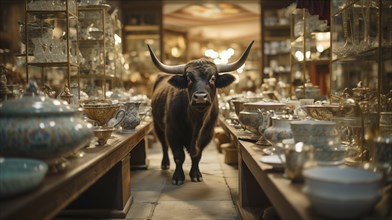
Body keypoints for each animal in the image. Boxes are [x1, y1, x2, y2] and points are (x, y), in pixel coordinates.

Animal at [148, 40, 254, 184]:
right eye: (188, 78)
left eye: (213, 78)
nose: (200, 97)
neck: (195, 121)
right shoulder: (172, 132)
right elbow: (178, 156)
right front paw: (178, 177)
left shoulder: (207, 134)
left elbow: (197, 156)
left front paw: (196, 174)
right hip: (157, 125)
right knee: (164, 144)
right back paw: (165, 164)